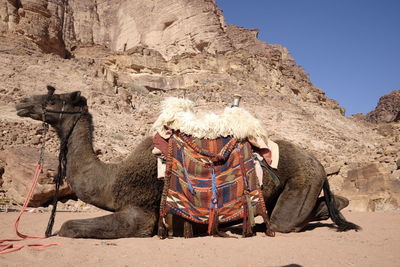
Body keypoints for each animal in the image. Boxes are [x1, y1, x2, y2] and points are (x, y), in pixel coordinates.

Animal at [14, 87, 360, 239]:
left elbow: (68, 227)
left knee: (285, 221)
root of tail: (318, 162)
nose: (21, 102)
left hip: (303, 181)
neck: (112, 181)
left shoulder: (142, 214)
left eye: (52, 99)